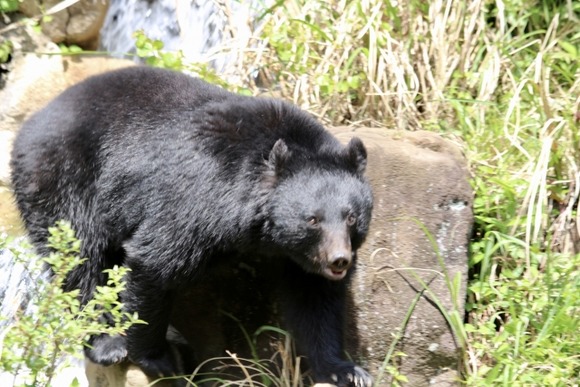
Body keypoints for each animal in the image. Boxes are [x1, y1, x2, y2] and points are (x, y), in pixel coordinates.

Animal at [11, 66, 374, 387]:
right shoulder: (196, 198)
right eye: (312, 219)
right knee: (80, 258)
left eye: (352, 217)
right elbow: (154, 261)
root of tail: (30, 126)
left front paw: (347, 371)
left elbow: (315, 297)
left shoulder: (300, 258)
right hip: (62, 180)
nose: (339, 260)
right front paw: (158, 358)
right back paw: (107, 344)